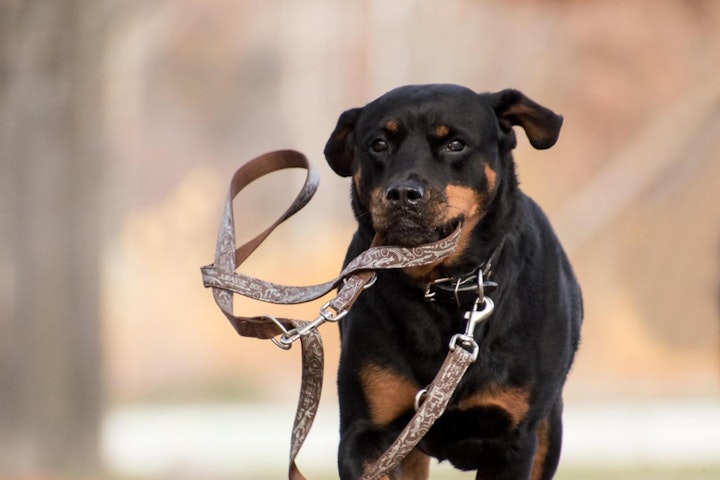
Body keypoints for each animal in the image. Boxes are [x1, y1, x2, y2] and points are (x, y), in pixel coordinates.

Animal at [324, 84, 584, 478]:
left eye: (455, 144)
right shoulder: (365, 432)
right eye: (378, 144)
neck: (442, 286)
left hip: (547, 431)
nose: (403, 193)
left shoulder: (514, 441)